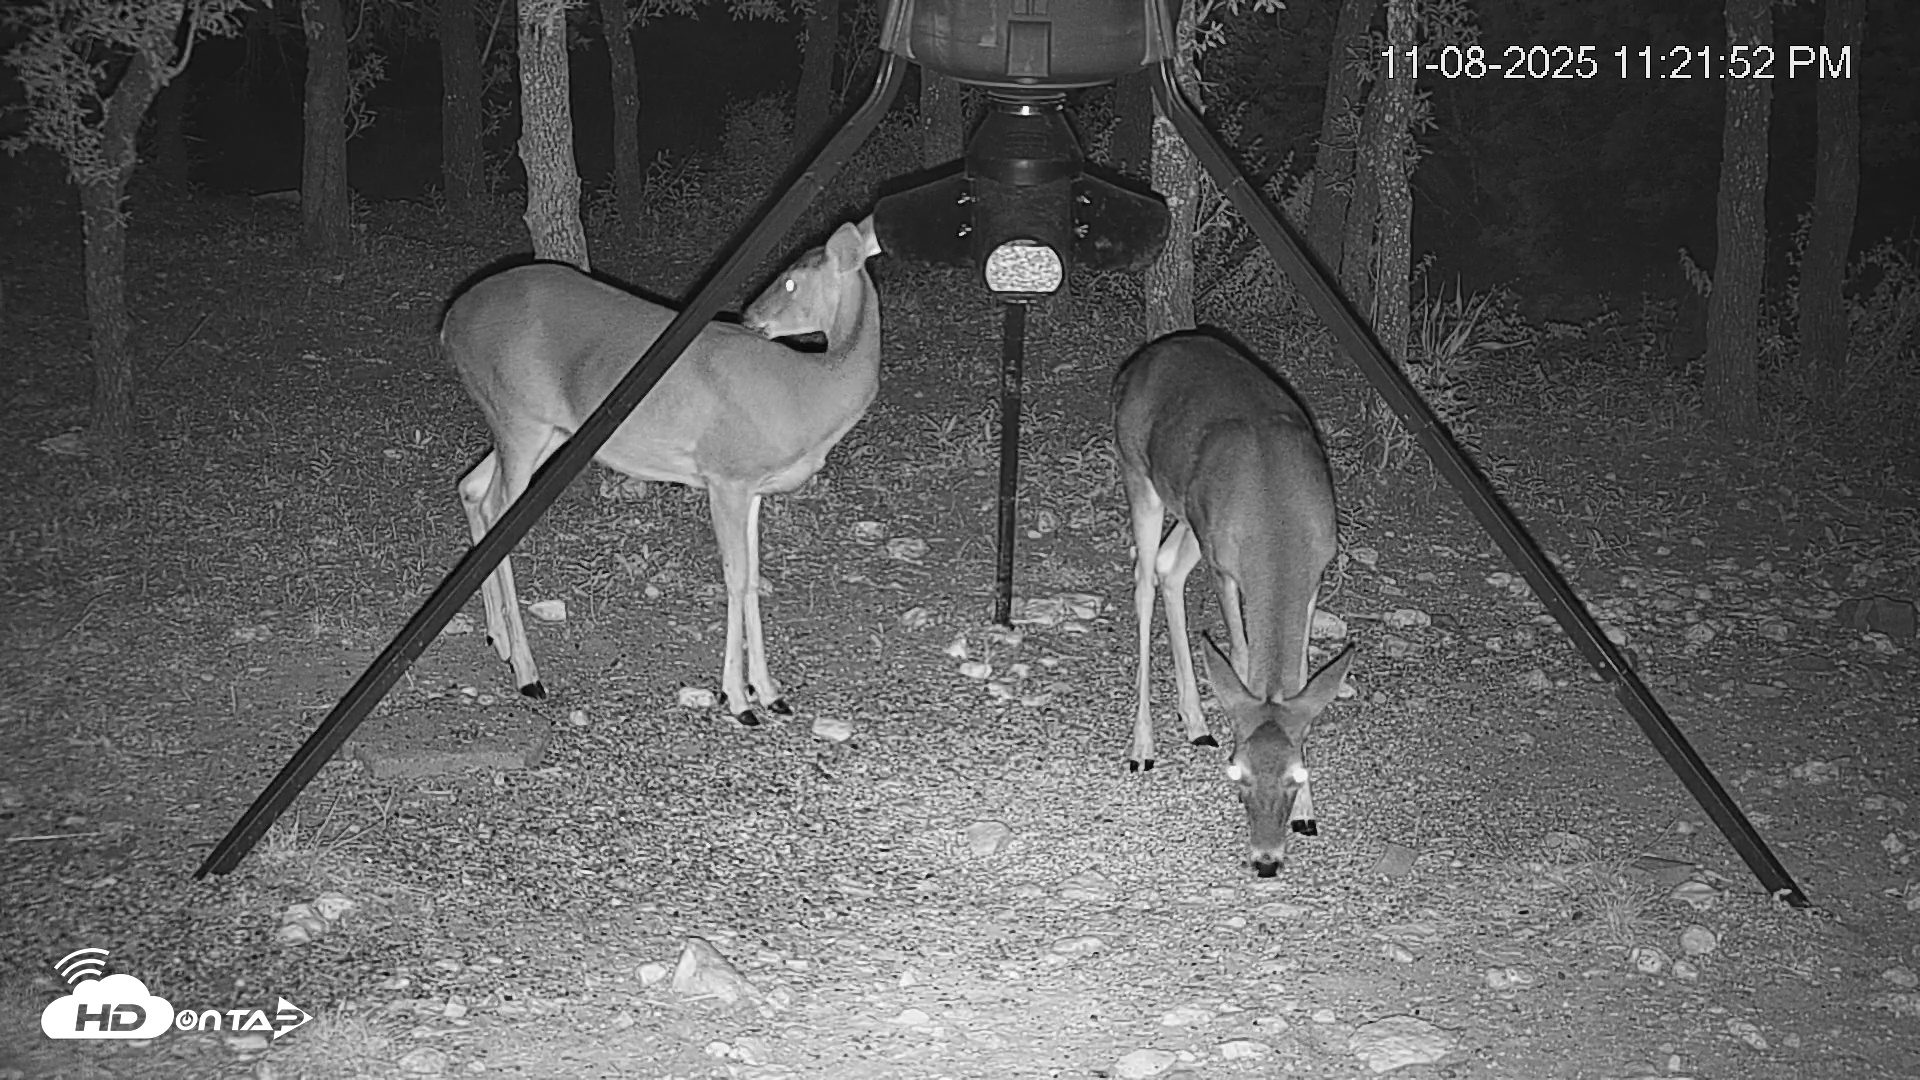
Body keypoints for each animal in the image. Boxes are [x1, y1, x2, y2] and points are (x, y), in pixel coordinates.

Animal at [439, 216, 884, 725]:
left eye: (792, 280)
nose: (749, 316)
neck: (808, 391)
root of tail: (450, 322)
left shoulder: (753, 488)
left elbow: (752, 578)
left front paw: (771, 692)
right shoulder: (725, 474)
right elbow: (734, 578)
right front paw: (737, 699)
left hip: (540, 429)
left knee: (471, 488)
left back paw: (500, 640)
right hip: (518, 418)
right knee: (495, 512)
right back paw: (528, 673)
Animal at [1112, 329, 1356, 877]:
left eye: (1297, 774)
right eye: (1236, 774)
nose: (1266, 860)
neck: (1278, 523)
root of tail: (1142, 361)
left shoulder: (1316, 572)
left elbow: (1300, 678)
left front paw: (1307, 816)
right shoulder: (1224, 569)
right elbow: (1243, 659)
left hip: (1191, 514)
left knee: (1167, 567)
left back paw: (1197, 723)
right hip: (1138, 473)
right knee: (1143, 579)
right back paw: (1143, 746)